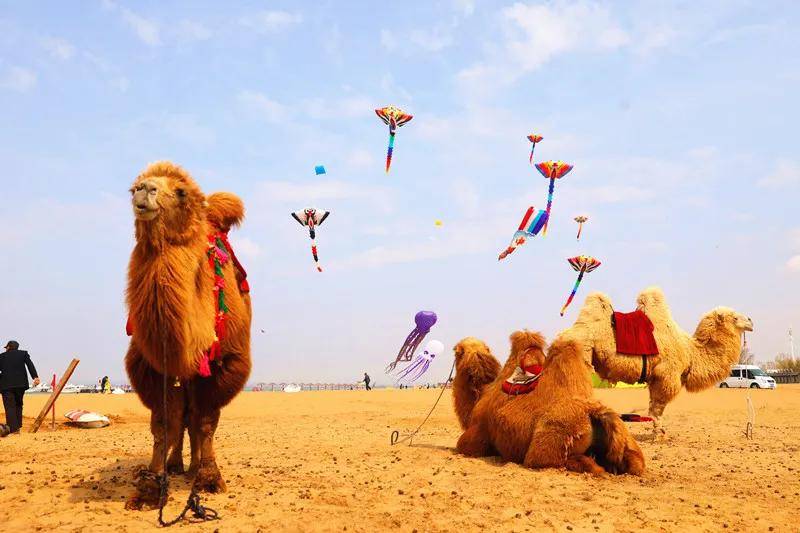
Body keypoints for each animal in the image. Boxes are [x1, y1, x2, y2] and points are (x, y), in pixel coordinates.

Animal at [125, 161, 252, 508]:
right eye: (134, 186)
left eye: (180, 192)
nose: (145, 189)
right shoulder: (151, 365)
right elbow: (163, 423)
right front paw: (150, 486)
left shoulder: (225, 363)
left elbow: (206, 421)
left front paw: (209, 479)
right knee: (182, 416)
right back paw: (176, 465)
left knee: (194, 416)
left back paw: (195, 466)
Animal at [454, 330, 648, 476]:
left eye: (456, 352)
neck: (482, 393)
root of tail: (595, 413)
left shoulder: (476, 434)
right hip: (628, 443)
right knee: (634, 462)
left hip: (546, 449)